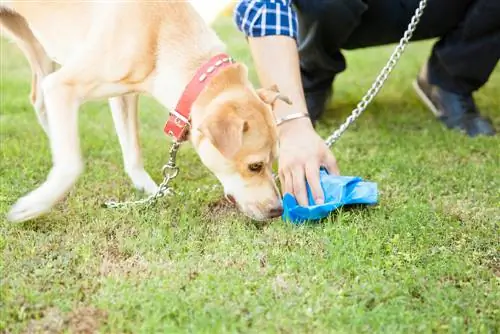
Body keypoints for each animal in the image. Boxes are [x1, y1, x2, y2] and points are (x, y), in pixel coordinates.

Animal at [0, 1, 290, 224]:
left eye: (275, 160)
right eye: (255, 166)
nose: (278, 210)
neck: (160, 32)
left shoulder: (124, 95)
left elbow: (133, 150)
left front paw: (150, 190)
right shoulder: (63, 86)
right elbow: (72, 165)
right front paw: (36, 204)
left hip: (34, 42)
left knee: (39, 98)